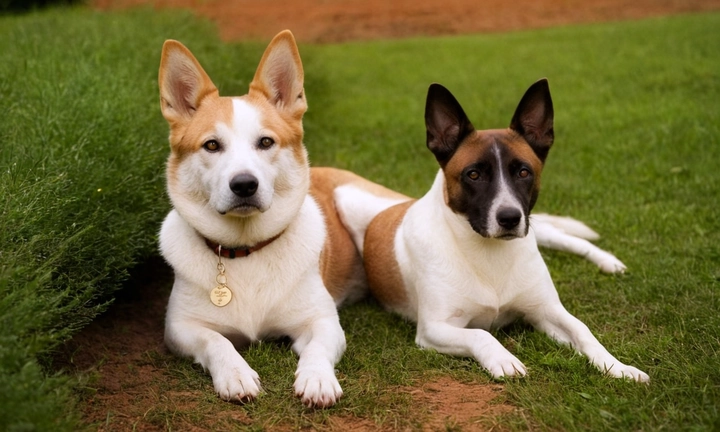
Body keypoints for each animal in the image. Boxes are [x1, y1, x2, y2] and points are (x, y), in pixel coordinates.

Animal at [158, 31, 408, 408]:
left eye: (265, 142)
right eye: (212, 145)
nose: (244, 185)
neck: (246, 249)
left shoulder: (322, 321)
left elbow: (317, 348)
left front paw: (317, 378)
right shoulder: (180, 327)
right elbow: (216, 341)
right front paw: (235, 373)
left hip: (356, 203)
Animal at [334, 80, 648, 382]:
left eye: (524, 172)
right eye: (473, 174)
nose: (509, 218)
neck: (486, 251)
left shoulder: (546, 310)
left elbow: (583, 330)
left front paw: (618, 366)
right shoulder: (434, 329)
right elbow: (481, 333)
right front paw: (504, 360)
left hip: (536, 230)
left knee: (570, 239)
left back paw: (608, 261)